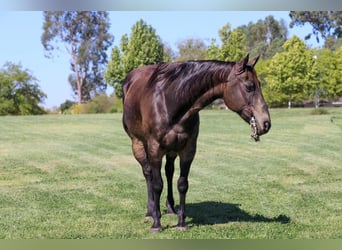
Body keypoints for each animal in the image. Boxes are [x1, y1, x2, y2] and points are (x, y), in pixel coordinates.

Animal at [121, 54, 272, 232]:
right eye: (249, 86)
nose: (266, 123)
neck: (170, 101)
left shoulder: (188, 150)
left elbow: (182, 184)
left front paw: (181, 222)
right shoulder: (155, 149)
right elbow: (158, 185)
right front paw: (156, 224)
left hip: (171, 150)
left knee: (169, 172)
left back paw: (171, 208)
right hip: (138, 144)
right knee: (148, 173)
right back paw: (150, 211)